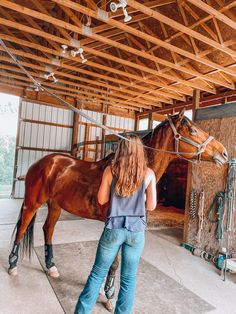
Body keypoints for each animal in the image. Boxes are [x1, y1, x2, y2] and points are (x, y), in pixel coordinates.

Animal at [8, 109, 228, 306]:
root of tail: (43, 162)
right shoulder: (115, 227)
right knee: (22, 229)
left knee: (48, 230)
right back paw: (12, 265)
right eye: (192, 131)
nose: (224, 153)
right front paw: (109, 295)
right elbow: (114, 261)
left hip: (55, 206)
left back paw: (51, 267)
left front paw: (106, 291)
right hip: (32, 203)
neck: (130, 173)